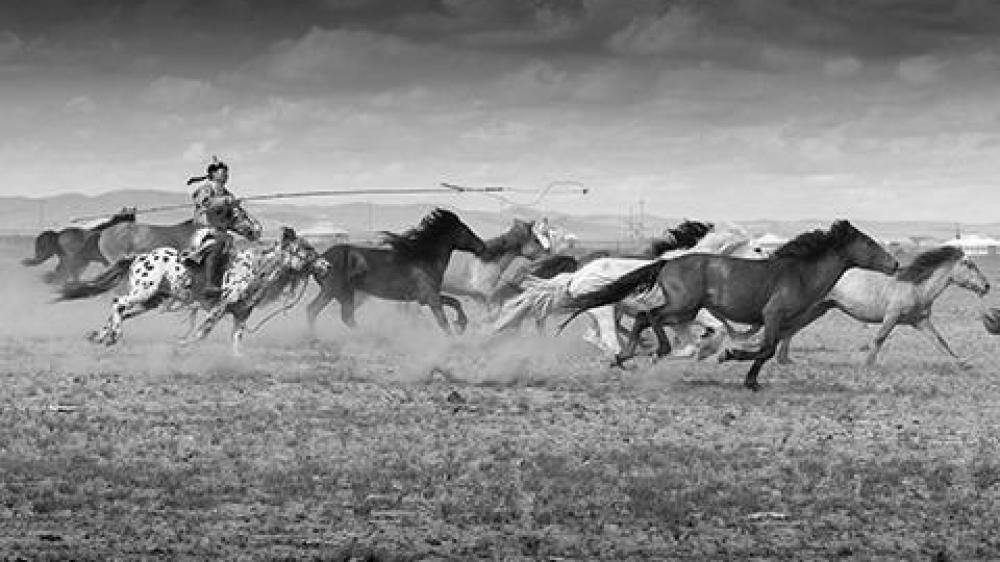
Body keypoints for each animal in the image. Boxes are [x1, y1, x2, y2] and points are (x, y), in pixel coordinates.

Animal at [308, 209, 488, 332]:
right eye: (465, 230)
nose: (482, 246)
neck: (423, 258)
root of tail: (320, 259)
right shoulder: (430, 298)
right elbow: (443, 321)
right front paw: (457, 333)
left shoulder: (425, 298)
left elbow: (455, 302)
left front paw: (462, 324)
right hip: (334, 291)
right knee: (321, 311)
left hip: (344, 293)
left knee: (334, 315)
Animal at [564, 220, 900, 390]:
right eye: (869, 243)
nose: (895, 263)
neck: (799, 272)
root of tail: (666, 262)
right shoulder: (773, 314)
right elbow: (765, 349)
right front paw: (733, 360)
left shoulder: (780, 321)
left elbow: (767, 349)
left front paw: (747, 375)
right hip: (683, 306)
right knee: (650, 317)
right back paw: (651, 351)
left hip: (684, 310)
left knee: (643, 319)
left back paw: (625, 357)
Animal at [776, 244, 988, 366]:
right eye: (969, 264)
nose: (987, 286)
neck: (916, 287)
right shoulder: (892, 316)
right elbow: (880, 338)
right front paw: (868, 364)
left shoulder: (920, 322)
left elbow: (940, 340)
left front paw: (961, 362)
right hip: (812, 309)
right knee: (790, 328)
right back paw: (782, 359)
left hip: (819, 310)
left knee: (791, 329)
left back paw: (785, 360)